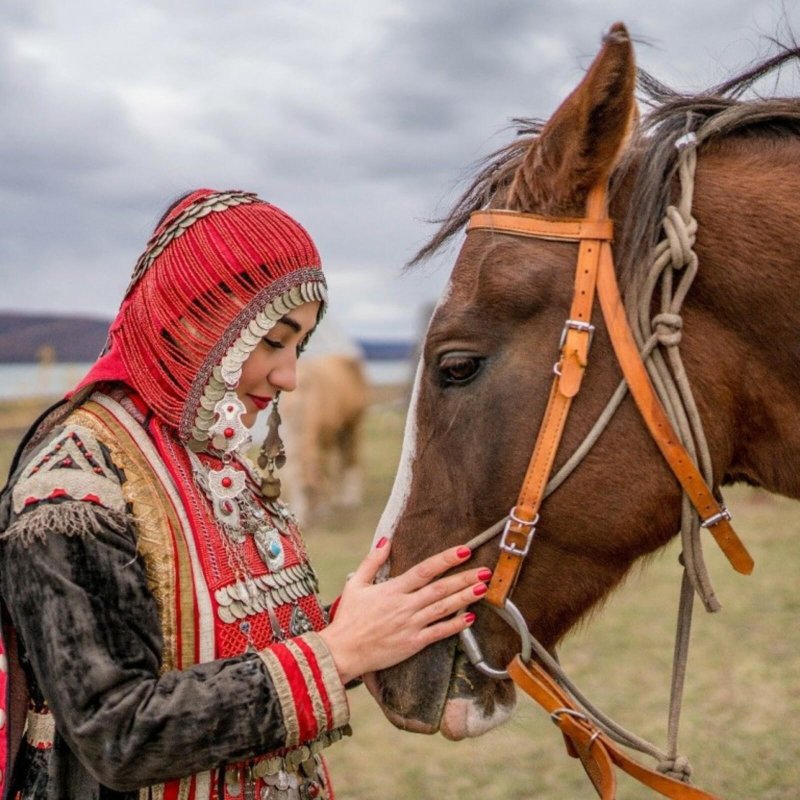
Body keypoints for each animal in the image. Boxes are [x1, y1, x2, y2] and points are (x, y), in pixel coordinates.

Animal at [253, 316, 368, 528]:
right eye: (296, 491)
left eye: (309, 491)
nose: (303, 520)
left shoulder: (322, 433)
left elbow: (322, 466)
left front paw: (324, 506)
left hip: (353, 424)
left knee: (350, 458)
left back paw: (349, 497)